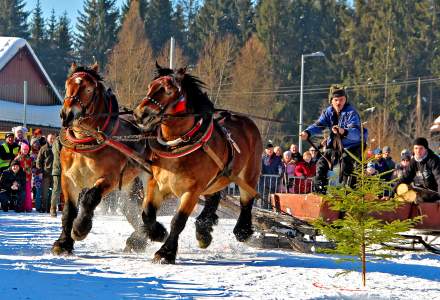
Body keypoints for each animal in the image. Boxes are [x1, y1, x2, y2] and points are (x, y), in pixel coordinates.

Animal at [52, 63, 149, 255]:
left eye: (89, 89)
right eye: (67, 85)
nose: (67, 114)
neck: (86, 140)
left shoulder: (110, 178)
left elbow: (90, 197)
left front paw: (80, 229)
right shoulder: (68, 179)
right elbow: (69, 210)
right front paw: (63, 243)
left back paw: (140, 239)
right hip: (129, 182)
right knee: (129, 209)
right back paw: (137, 240)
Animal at [134, 63, 262, 262]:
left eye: (168, 90)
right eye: (150, 86)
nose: (140, 114)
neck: (178, 145)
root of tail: (245, 120)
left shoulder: (192, 191)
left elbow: (178, 221)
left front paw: (166, 252)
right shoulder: (156, 183)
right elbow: (147, 213)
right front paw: (158, 233)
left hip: (249, 174)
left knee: (247, 200)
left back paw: (242, 230)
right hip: (216, 179)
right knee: (214, 197)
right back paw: (203, 230)